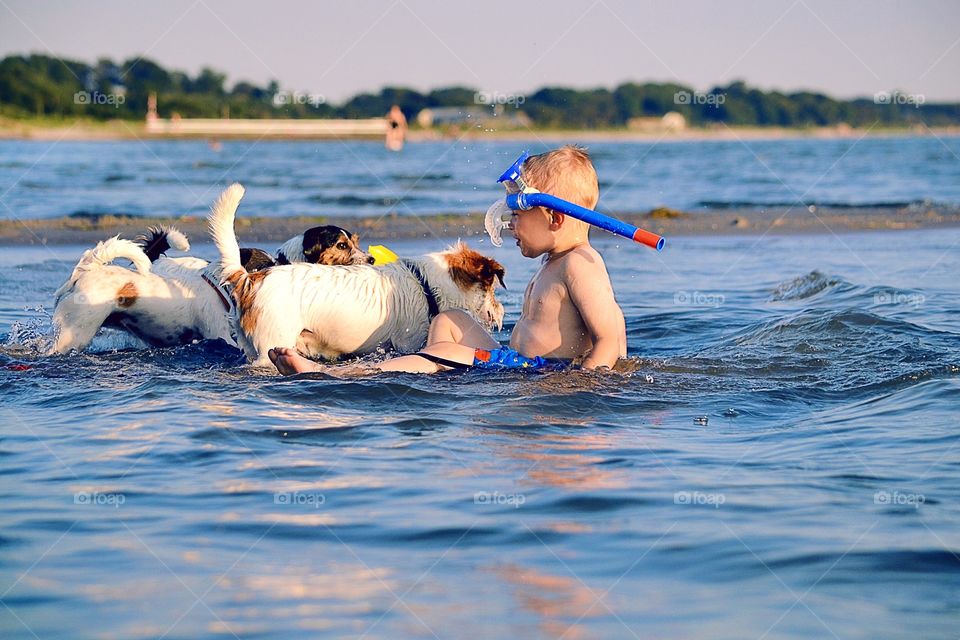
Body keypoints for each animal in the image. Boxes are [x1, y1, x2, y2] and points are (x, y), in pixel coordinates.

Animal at [208, 182, 510, 368]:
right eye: (492, 288)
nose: (501, 312)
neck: (425, 284)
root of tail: (250, 279)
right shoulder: (409, 342)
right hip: (271, 345)